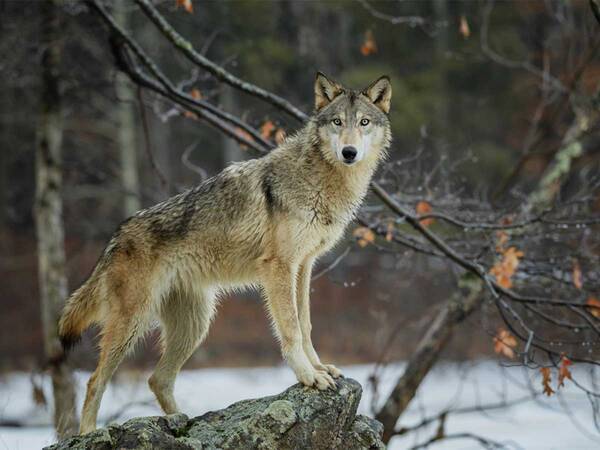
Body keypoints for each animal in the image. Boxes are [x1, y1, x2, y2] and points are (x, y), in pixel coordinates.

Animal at [58, 71, 392, 432]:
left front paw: (319, 368)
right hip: (133, 324)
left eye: (363, 122)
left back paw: (181, 423)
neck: (320, 179)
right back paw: (88, 433)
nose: (349, 152)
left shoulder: (303, 266)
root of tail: (115, 237)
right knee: (94, 381)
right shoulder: (278, 267)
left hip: (195, 326)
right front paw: (308, 376)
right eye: (337, 122)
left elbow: (305, 325)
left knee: (157, 379)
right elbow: (290, 328)